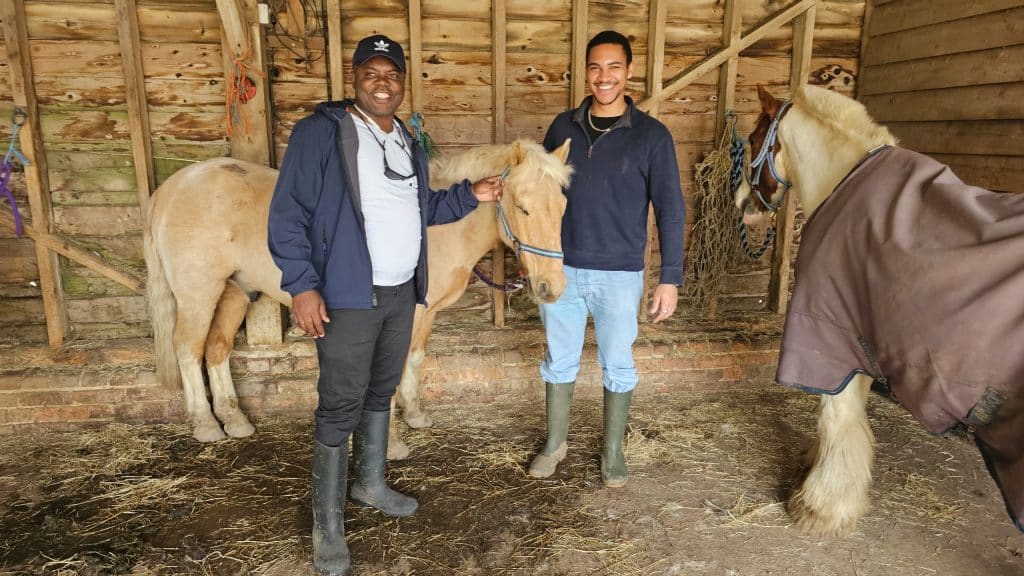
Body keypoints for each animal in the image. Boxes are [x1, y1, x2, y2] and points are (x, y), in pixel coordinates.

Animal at [145, 139, 577, 453]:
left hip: (235, 290)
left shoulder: (426, 314)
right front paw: (392, 443)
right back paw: (205, 424)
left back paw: (234, 421)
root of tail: (171, 188)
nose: (551, 288)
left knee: (216, 349)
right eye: (522, 207)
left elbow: (414, 361)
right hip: (199, 293)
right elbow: (391, 374)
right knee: (188, 349)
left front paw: (414, 415)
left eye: (562, 207)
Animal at [737, 84, 1024, 532]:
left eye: (753, 138)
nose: (742, 204)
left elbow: (837, 417)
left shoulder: (834, 342)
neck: (844, 180)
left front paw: (821, 505)